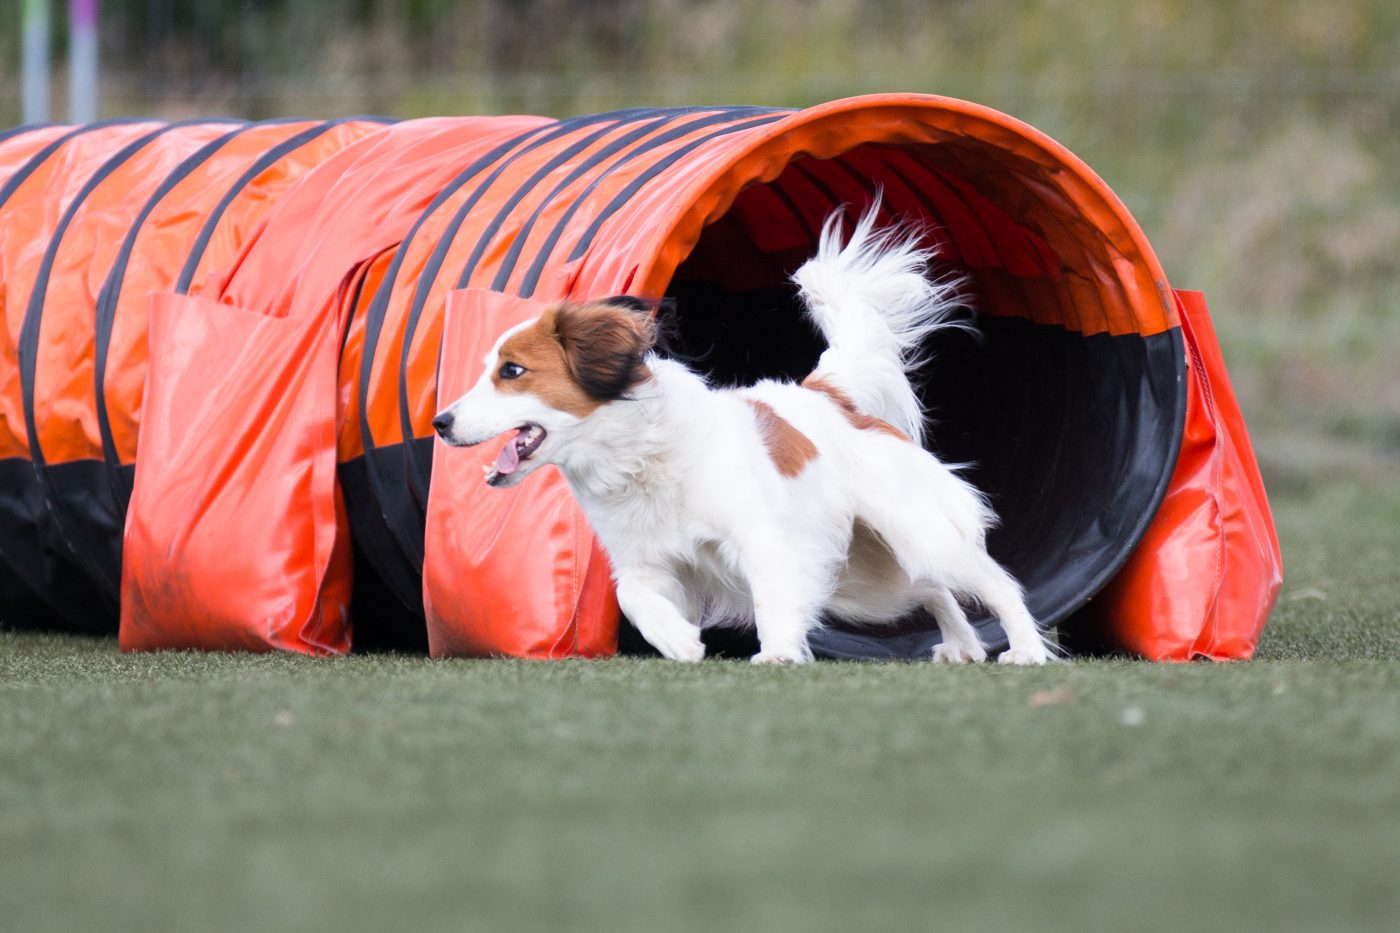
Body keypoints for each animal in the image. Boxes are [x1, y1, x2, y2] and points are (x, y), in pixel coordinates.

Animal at [431, 203, 1052, 661]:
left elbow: (772, 596)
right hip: (869, 578)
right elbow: (631, 596)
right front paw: (678, 641)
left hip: (915, 534)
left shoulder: (763, 538)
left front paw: (777, 653)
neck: (640, 457)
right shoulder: (645, 561)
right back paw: (961, 646)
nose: (440, 422)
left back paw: (1023, 650)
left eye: (513, 371)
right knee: (933, 589)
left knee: (992, 582)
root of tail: (832, 397)